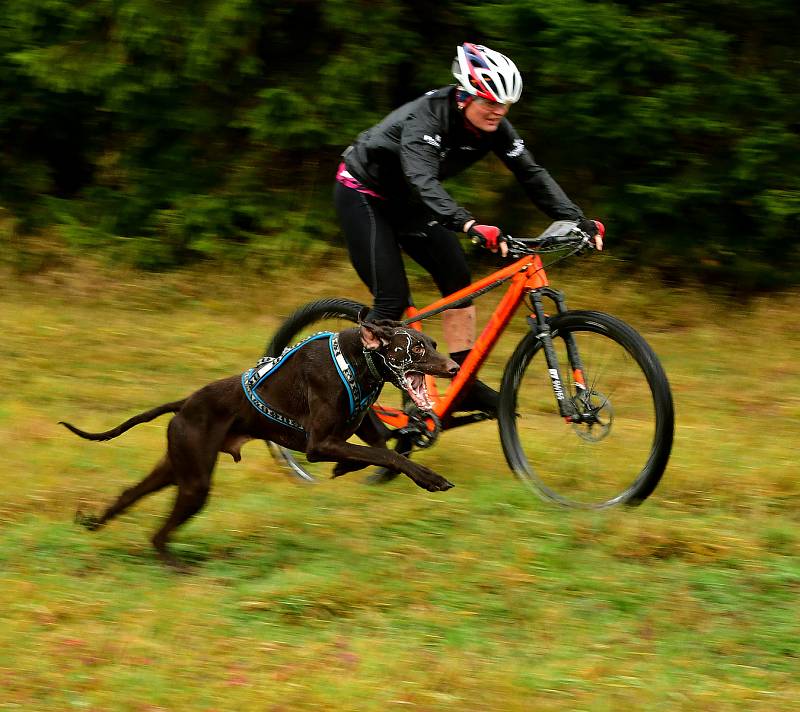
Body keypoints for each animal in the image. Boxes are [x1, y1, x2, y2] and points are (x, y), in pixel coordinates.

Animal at [60, 318, 460, 568]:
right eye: (416, 349)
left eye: (433, 344)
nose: (455, 369)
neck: (358, 359)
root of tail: (185, 403)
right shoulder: (318, 445)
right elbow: (390, 457)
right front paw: (429, 478)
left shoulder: (357, 431)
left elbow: (378, 451)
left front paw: (347, 465)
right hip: (194, 482)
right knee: (158, 533)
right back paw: (174, 564)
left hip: (176, 470)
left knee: (129, 495)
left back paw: (96, 524)